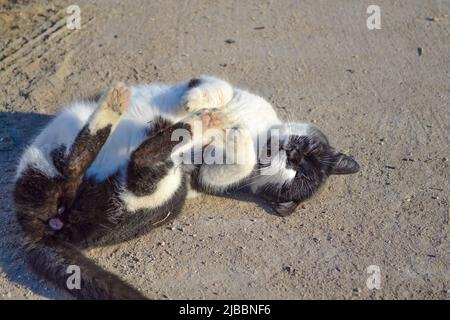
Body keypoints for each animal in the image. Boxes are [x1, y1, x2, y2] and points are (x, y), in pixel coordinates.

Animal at [12, 75, 360, 300]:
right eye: (301, 155)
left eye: (290, 176)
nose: (284, 153)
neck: (256, 130)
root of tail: (47, 228)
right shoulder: (225, 90)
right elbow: (219, 86)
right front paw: (197, 102)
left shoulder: (204, 175)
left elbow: (233, 167)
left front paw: (232, 136)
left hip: (167, 189)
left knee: (118, 164)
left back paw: (186, 121)